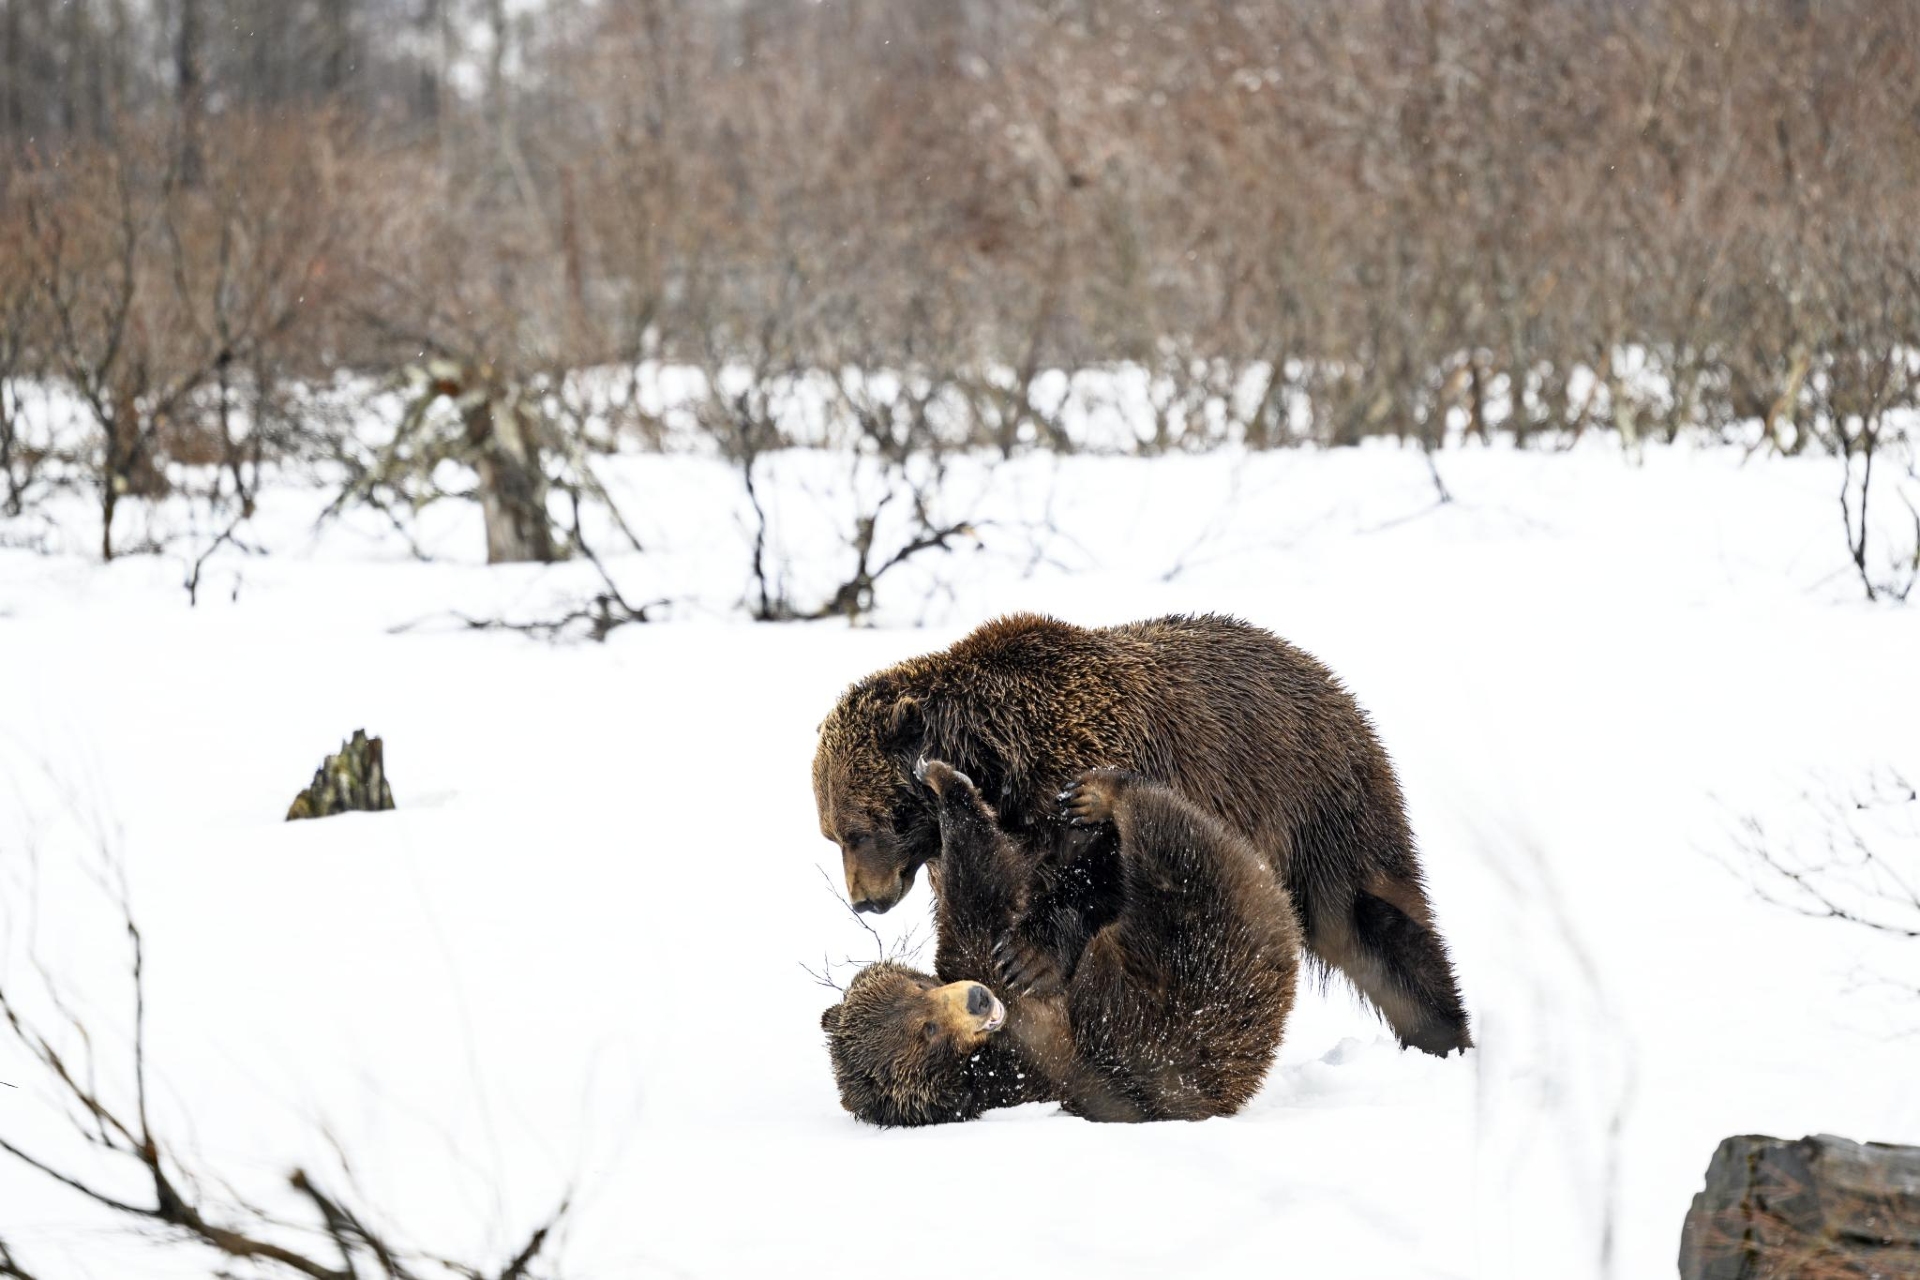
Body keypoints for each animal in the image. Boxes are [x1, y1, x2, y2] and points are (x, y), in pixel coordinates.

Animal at [812, 612, 1472, 1056]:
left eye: (858, 828)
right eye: (832, 834)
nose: (865, 900)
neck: (1003, 766)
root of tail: (1329, 677)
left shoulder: (1095, 761)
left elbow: (1111, 866)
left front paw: (1027, 956)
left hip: (1319, 801)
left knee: (1374, 918)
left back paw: (1442, 1031)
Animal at [820, 759, 1300, 1125]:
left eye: (920, 987)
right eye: (928, 1031)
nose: (978, 1000)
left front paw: (934, 772)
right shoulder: (1029, 1034)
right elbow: (982, 887)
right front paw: (949, 782)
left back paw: (1089, 797)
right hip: (1205, 940)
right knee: (1169, 839)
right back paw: (1111, 794)